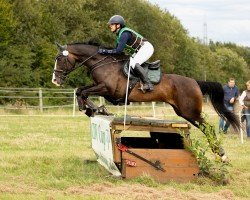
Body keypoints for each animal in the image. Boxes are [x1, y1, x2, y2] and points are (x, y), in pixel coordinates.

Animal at [52, 40, 240, 161]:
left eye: (60, 59)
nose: (55, 80)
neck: (102, 63)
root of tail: (195, 82)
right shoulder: (100, 87)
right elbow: (80, 91)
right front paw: (94, 109)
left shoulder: (107, 89)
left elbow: (83, 92)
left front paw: (92, 108)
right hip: (184, 112)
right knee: (205, 127)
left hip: (190, 110)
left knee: (208, 128)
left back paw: (222, 154)